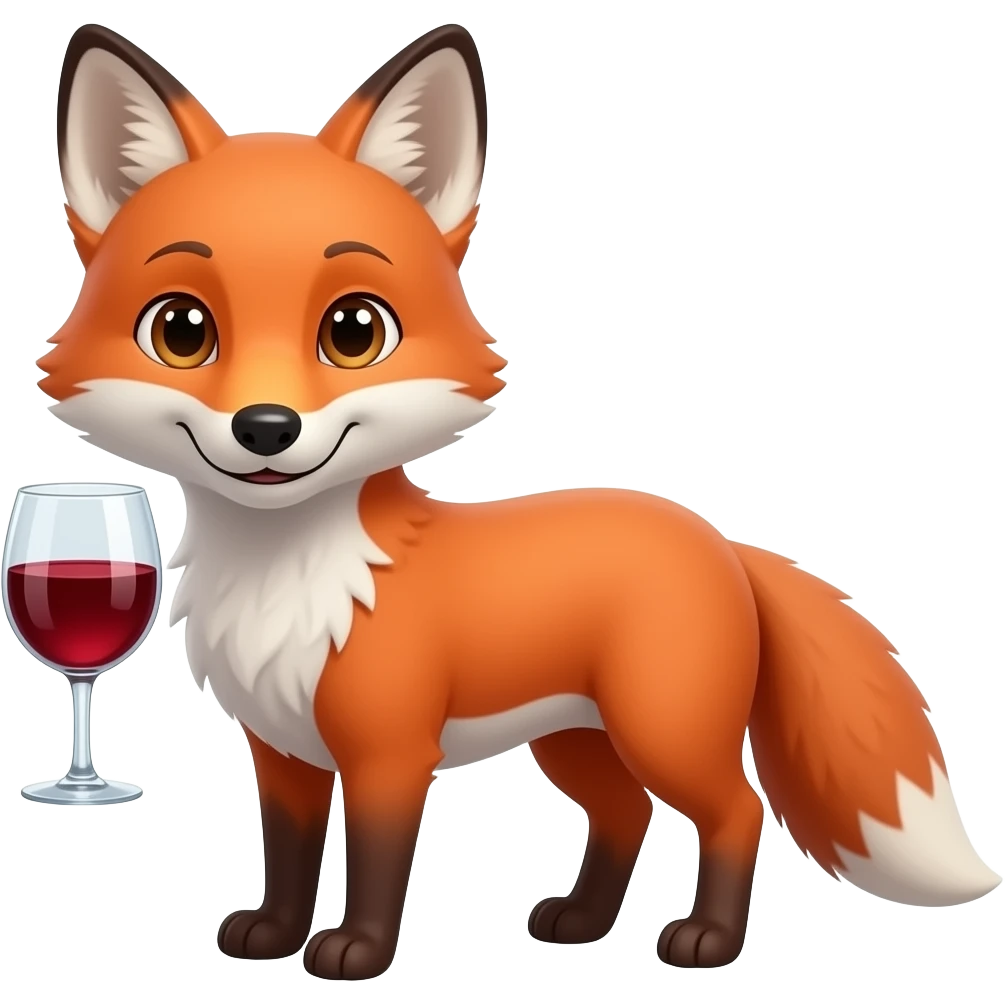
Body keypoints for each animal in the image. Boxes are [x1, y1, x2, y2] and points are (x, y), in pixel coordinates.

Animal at [44, 22, 1000, 980]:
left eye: (354, 331)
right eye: (182, 330)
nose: (266, 427)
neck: (292, 579)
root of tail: (721, 539)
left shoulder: (391, 753)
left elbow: (377, 863)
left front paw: (356, 949)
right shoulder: (282, 750)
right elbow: (286, 852)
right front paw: (273, 935)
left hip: (662, 728)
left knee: (737, 808)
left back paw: (706, 939)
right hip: (574, 738)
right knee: (624, 812)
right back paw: (579, 920)